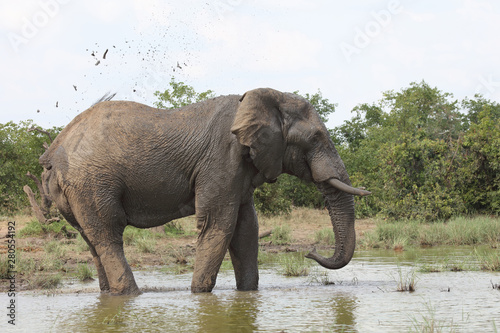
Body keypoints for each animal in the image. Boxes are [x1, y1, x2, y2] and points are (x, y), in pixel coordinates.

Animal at [39, 87, 370, 294]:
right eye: (315, 139)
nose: (310, 252)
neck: (262, 98)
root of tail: (54, 150)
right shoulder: (222, 159)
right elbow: (218, 224)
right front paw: (199, 294)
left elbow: (246, 229)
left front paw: (247, 294)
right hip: (91, 182)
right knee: (108, 234)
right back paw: (131, 295)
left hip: (75, 190)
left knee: (92, 239)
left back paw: (110, 295)